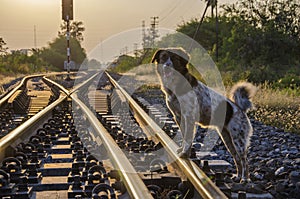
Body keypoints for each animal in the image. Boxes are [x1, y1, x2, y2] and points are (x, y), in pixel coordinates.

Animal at [151, 47, 256, 182]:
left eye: (175, 59)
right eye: (163, 57)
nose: (167, 67)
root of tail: (240, 109)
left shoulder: (189, 117)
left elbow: (188, 138)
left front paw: (185, 154)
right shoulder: (179, 117)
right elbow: (184, 137)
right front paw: (183, 151)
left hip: (239, 140)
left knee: (244, 160)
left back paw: (245, 179)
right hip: (227, 138)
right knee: (237, 158)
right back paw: (237, 176)